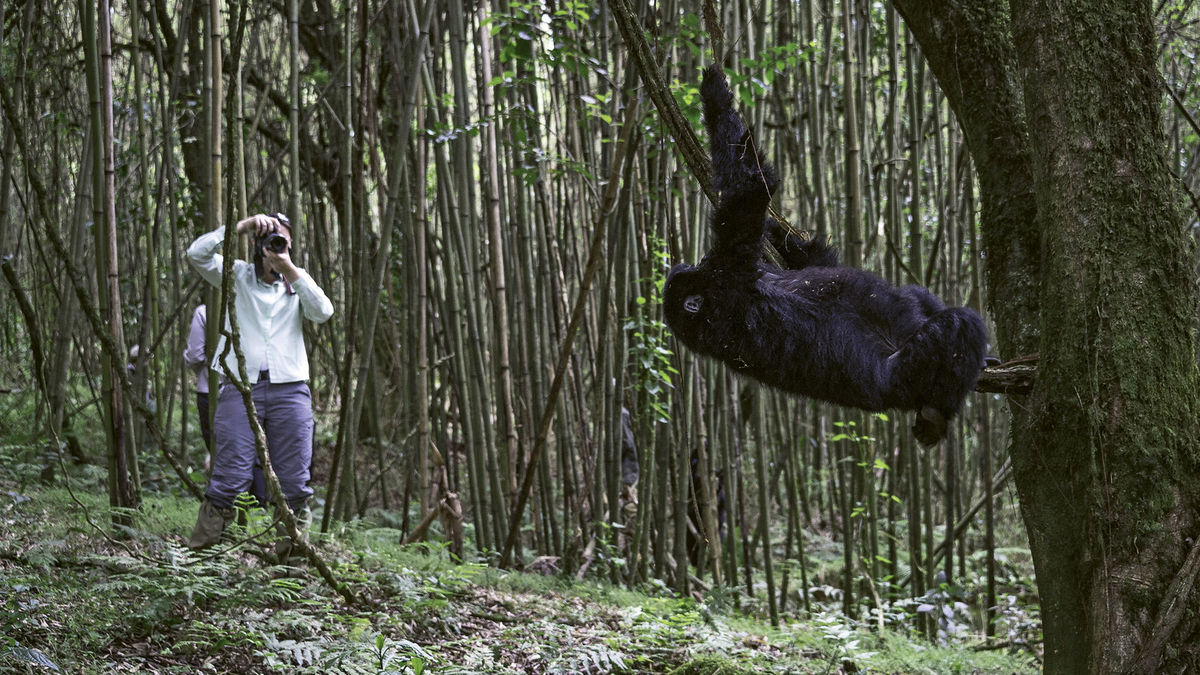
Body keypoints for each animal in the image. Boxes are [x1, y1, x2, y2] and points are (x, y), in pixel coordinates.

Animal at [662, 66, 988, 446]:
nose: (688, 262)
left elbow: (813, 259)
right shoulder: (724, 273)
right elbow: (750, 188)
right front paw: (713, 94)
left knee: (915, 295)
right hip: (906, 373)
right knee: (959, 325)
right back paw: (936, 414)